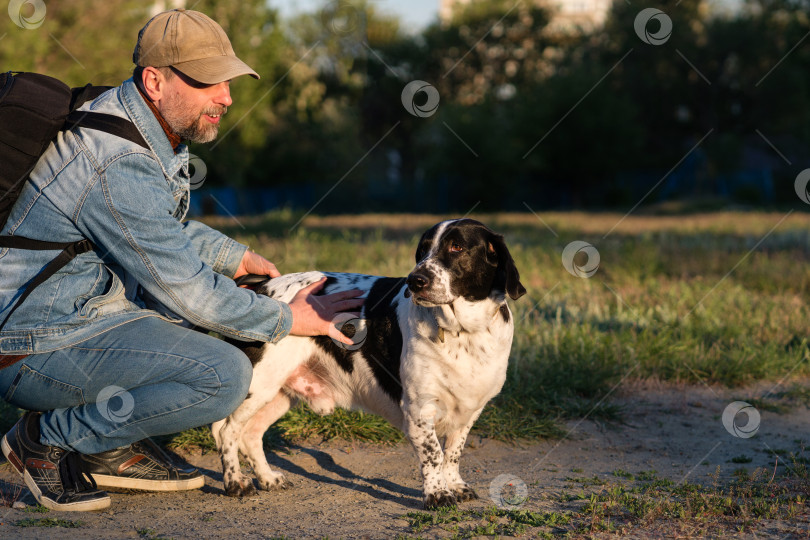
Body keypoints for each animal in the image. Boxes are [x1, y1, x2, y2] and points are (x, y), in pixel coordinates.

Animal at [211, 217, 524, 508]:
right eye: (422, 251)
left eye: (456, 246)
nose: (415, 280)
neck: (463, 334)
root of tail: (261, 286)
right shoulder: (419, 410)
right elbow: (433, 454)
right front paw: (437, 494)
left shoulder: (469, 410)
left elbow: (453, 453)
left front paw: (455, 485)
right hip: (258, 384)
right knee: (226, 430)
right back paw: (235, 483)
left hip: (278, 393)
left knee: (251, 433)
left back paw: (267, 478)